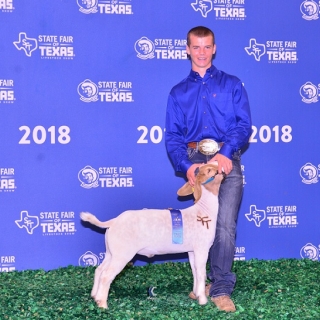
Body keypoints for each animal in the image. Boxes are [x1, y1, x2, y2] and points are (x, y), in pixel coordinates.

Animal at [80, 164, 225, 308]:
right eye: (209, 170)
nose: (219, 165)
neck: (204, 211)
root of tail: (114, 221)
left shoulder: (192, 251)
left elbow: (195, 271)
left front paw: (195, 294)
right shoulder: (202, 248)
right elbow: (201, 273)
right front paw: (203, 299)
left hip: (111, 252)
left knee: (99, 270)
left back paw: (94, 296)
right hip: (122, 254)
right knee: (106, 275)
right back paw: (102, 305)